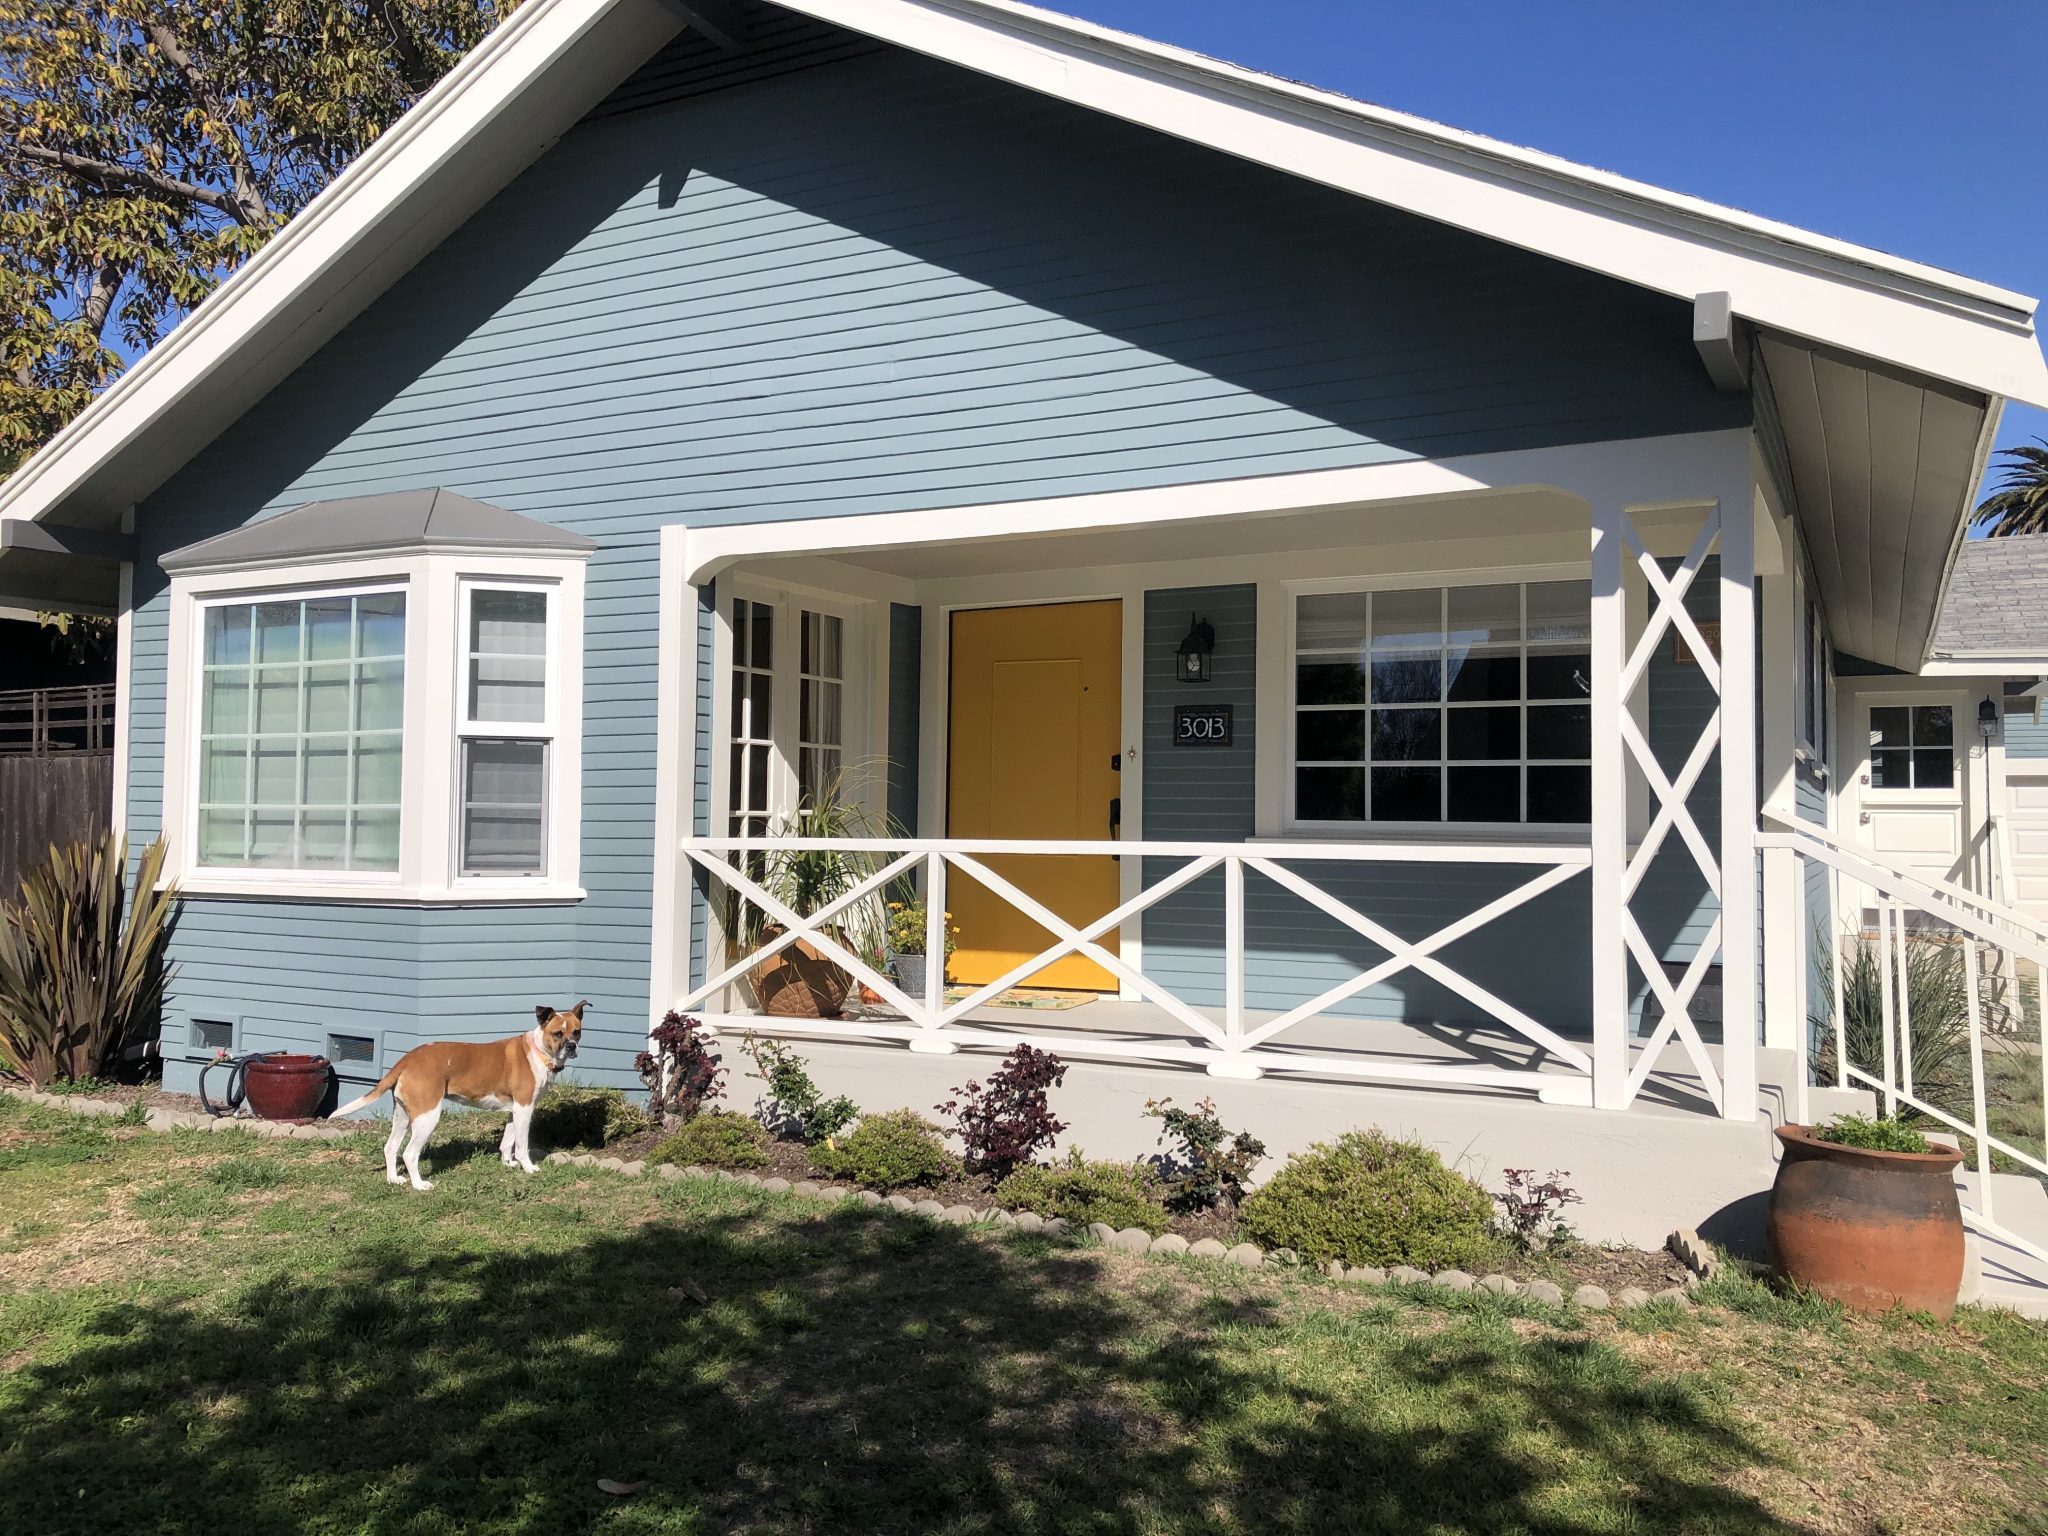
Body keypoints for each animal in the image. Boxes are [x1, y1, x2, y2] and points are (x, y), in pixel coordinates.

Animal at [327, 1003, 585, 1196]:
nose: (572, 1046)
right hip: (427, 1118)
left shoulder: (515, 1110)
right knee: (409, 1153)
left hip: (401, 1117)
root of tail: (409, 1058)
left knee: (390, 1147)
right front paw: (528, 1167)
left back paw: (394, 1179)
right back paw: (419, 1184)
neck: (537, 1052)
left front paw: (508, 1164)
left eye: (577, 1031)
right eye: (557, 1033)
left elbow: (507, 1142)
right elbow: (521, 1145)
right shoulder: (525, 1108)